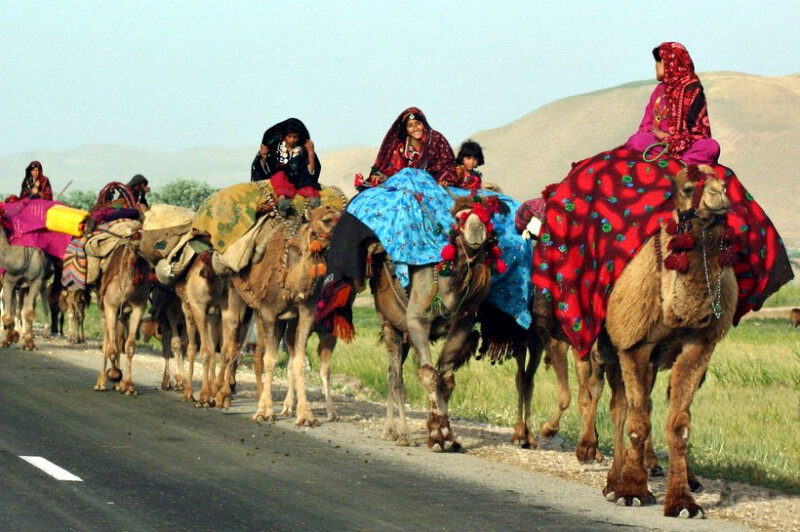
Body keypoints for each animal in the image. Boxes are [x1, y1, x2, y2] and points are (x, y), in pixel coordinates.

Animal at [94, 241, 152, 394]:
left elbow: (129, 346)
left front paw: (129, 386)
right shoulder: (111, 307)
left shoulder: (138, 308)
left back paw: (119, 384)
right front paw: (114, 375)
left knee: (119, 340)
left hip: (122, 316)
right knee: (107, 343)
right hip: (104, 312)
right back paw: (101, 383)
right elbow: (111, 349)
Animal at [233, 206, 342, 426]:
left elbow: (298, 361)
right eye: (327, 220)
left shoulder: (306, 313)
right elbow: (271, 360)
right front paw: (265, 412)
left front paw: (305, 415)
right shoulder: (268, 311)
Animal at [372, 196, 496, 448]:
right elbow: (429, 375)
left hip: (402, 333)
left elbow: (446, 380)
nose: (476, 229)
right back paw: (404, 435)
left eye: (488, 217)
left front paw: (450, 437)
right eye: (458, 219)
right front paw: (436, 435)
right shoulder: (417, 322)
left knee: (391, 374)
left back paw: (390, 431)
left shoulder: (462, 326)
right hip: (389, 324)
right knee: (396, 379)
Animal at [600, 164, 736, 516]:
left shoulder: (698, 346)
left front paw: (683, 502)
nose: (718, 195)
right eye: (688, 187)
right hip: (606, 350)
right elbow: (636, 421)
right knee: (619, 409)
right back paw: (613, 481)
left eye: (724, 182)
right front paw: (631, 491)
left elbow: (679, 425)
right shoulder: (634, 344)